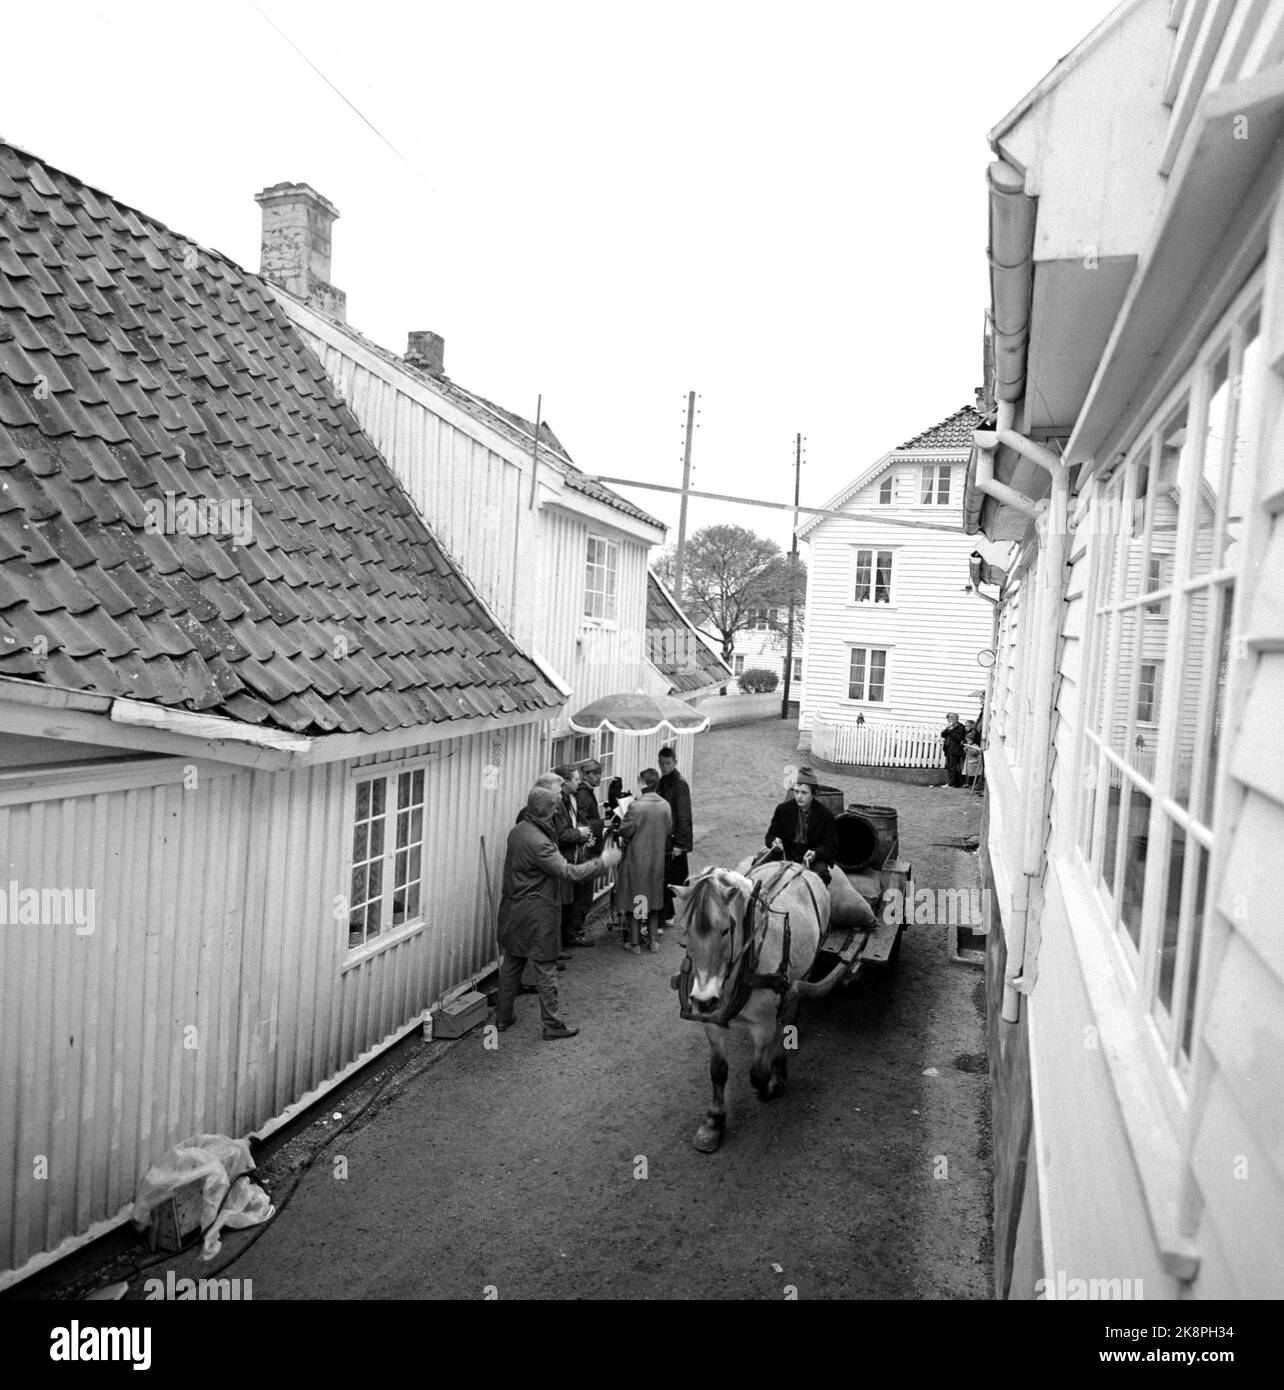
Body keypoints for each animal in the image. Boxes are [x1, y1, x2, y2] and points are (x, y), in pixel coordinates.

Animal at [667, 856, 839, 1150]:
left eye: (726, 930)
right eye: (685, 931)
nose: (703, 1000)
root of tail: (797, 864)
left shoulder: (762, 1025)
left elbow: (757, 1073)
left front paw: (772, 1085)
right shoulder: (711, 1021)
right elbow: (718, 1070)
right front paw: (714, 1122)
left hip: (806, 971)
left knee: (790, 1011)